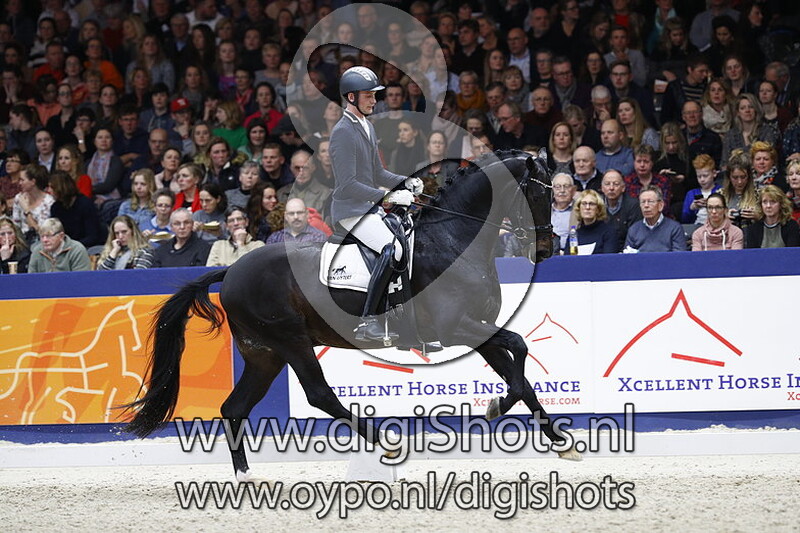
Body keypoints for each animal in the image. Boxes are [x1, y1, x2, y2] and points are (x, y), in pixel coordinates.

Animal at [125, 149, 580, 479]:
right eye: (539, 194)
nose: (546, 249)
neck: (455, 239)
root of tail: (233, 270)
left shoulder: (478, 330)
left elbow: (520, 373)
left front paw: (558, 441)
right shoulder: (457, 327)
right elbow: (519, 349)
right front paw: (498, 409)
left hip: (263, 353)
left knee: (235, 408)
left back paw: (246, 477)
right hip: (290, 341)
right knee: (318, 393)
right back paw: (388, 442)